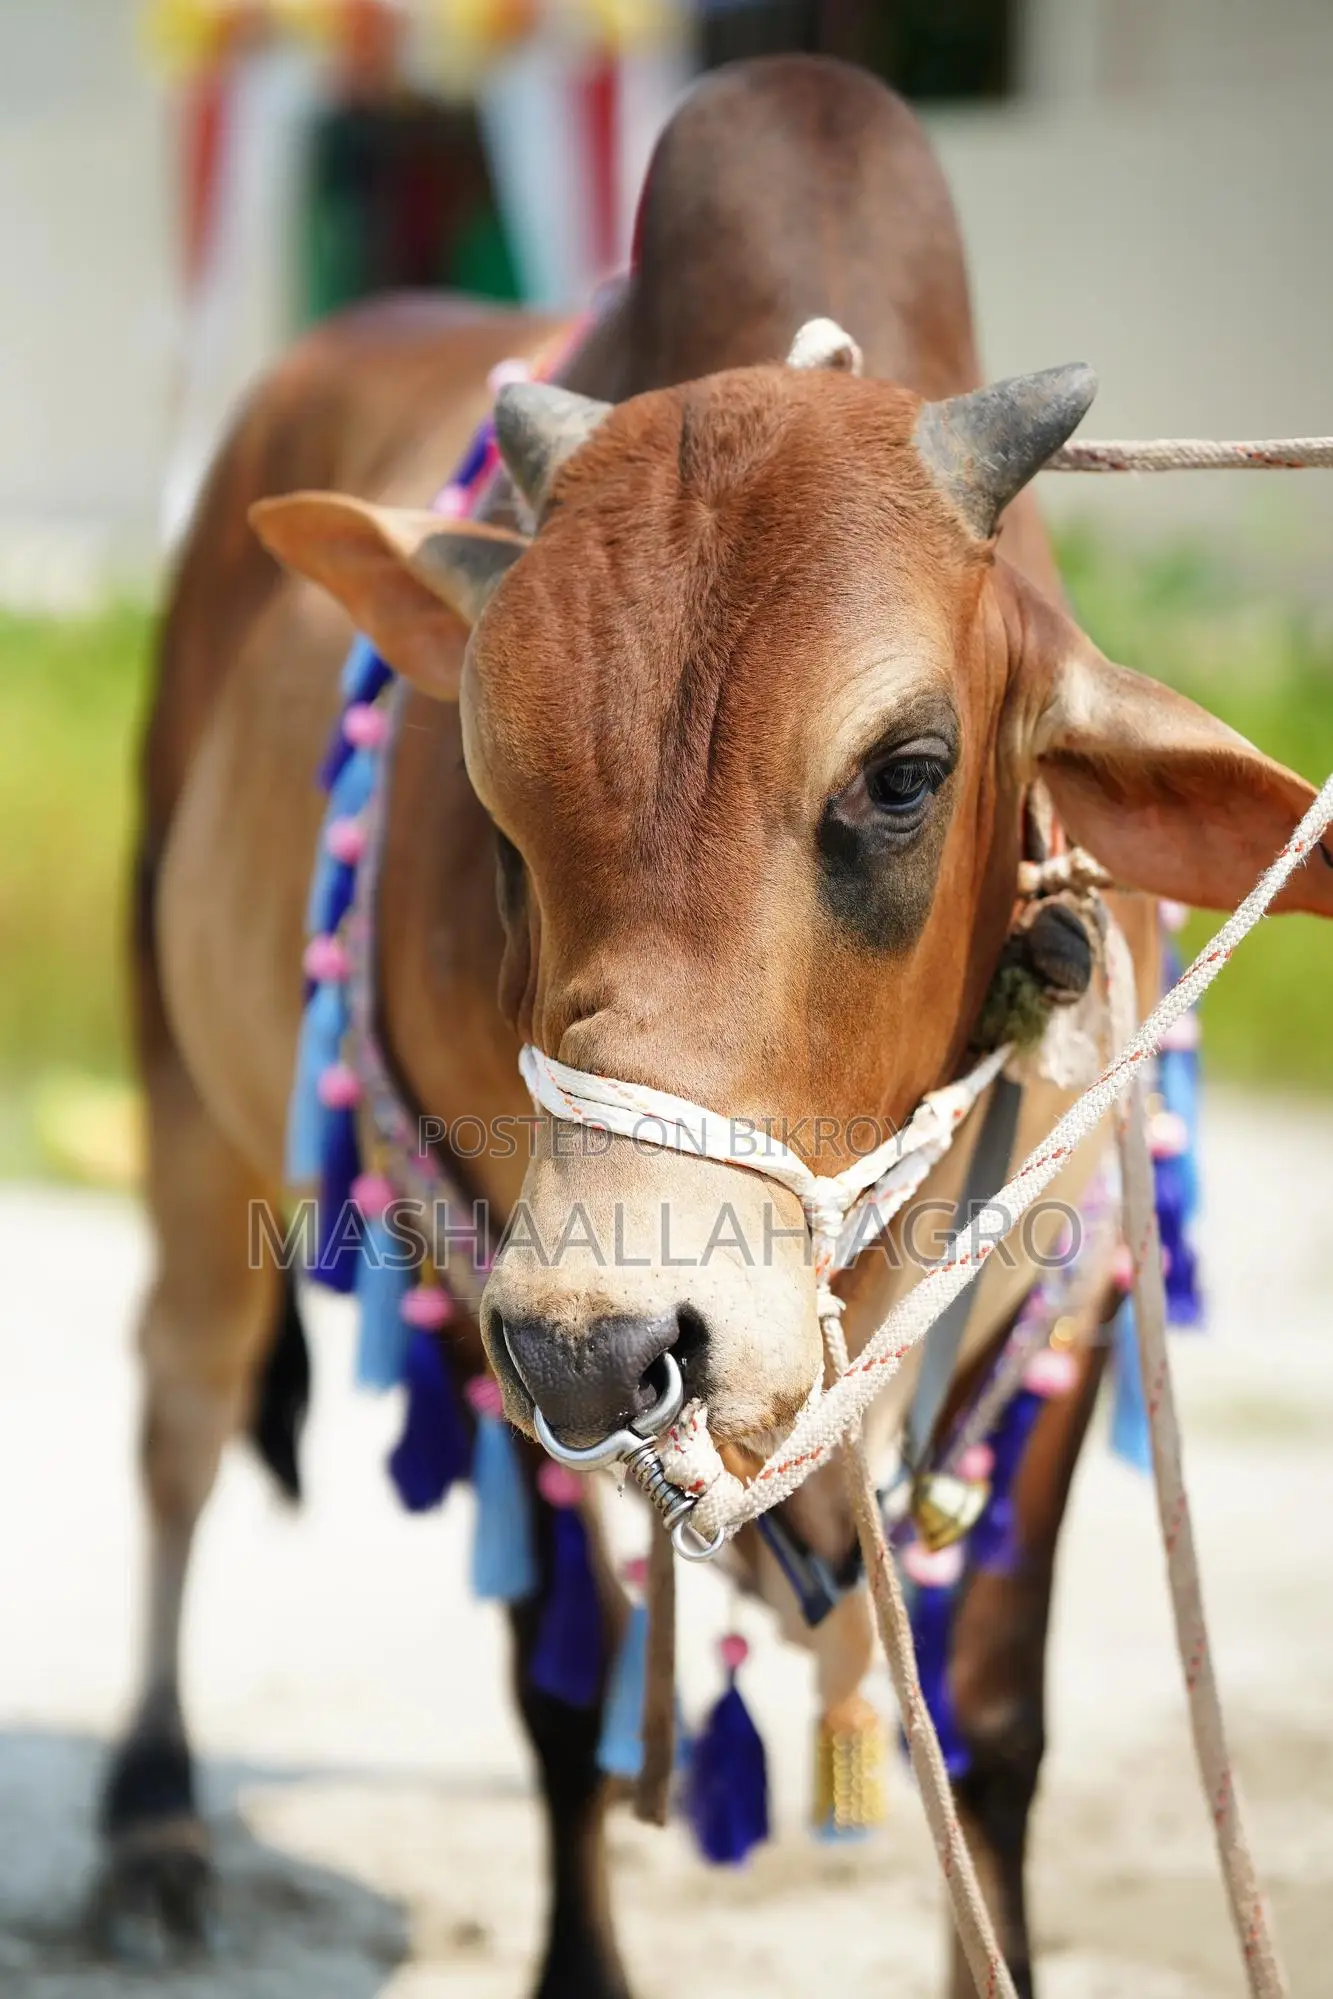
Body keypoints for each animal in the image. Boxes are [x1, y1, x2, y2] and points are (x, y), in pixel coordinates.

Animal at [104, 53, 1333, 1997]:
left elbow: (987, 1725)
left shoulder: (1065, 1295)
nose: (619, 1336)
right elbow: (559, 1704)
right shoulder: (489, 1287)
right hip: (188, 1085)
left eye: (905, 773)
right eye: (490, 784)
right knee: (180, 1402)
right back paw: (151, 1821)